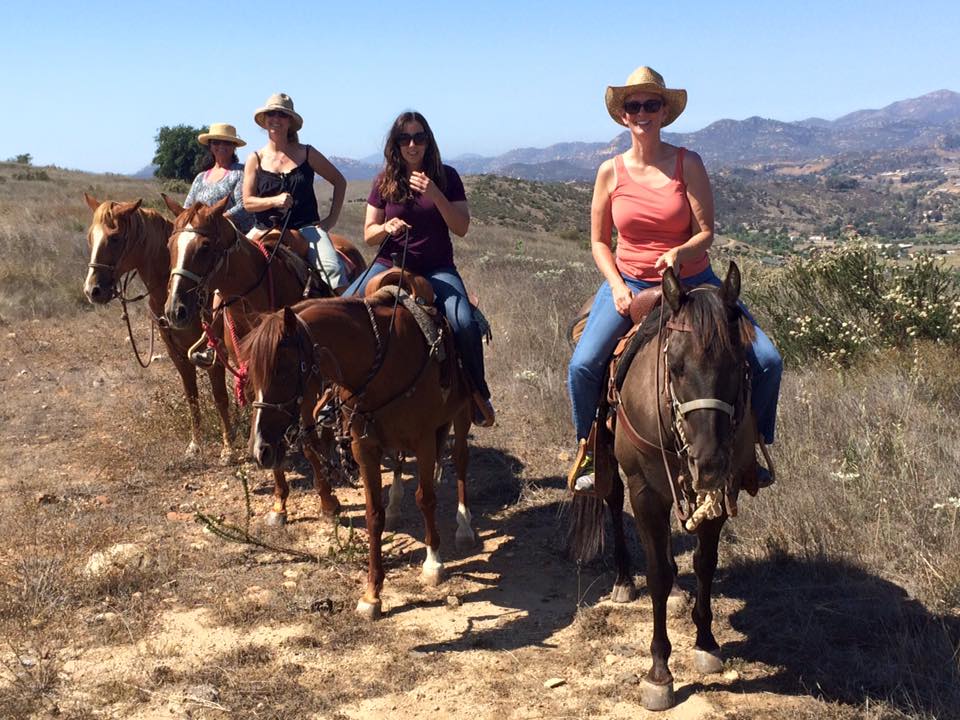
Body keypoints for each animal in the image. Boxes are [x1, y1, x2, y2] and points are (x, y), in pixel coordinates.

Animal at [81, 194, 233, 458]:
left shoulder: (215, 353)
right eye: (91, 237)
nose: (93, 290)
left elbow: (220, 397)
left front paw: (228, 447)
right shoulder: (177, 353)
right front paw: (195, 444)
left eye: (115, 238)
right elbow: (191, 396)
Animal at [161, 194, 364, 524]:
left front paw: (327, 502)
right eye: (169, 245)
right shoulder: (256, 374)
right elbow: (265, 426)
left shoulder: (302, 379)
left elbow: (306, 440)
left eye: (204, 247)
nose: (174, 310)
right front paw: (279, 503)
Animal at [238, 296, 474, 620]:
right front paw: (372, 594)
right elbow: (374, 515)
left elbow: (426, 499)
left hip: (462, 416)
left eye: (282, 371)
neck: (385, 364)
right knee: (399, 463)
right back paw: (396, 504)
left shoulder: (425, 441)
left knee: (460, 461)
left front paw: (433, 563)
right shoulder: (366, 449)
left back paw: (465, 525)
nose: (260, 449)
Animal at [568, 262, 756, 712]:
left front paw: (706, 642)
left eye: (738, 363)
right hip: (613, 460)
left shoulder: (718, 492)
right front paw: (659, 673)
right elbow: (656, 574)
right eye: (675, 366)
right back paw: (622, 580)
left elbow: (705, 563)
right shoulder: (645, 492)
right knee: (612, 500)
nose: (709, 461)